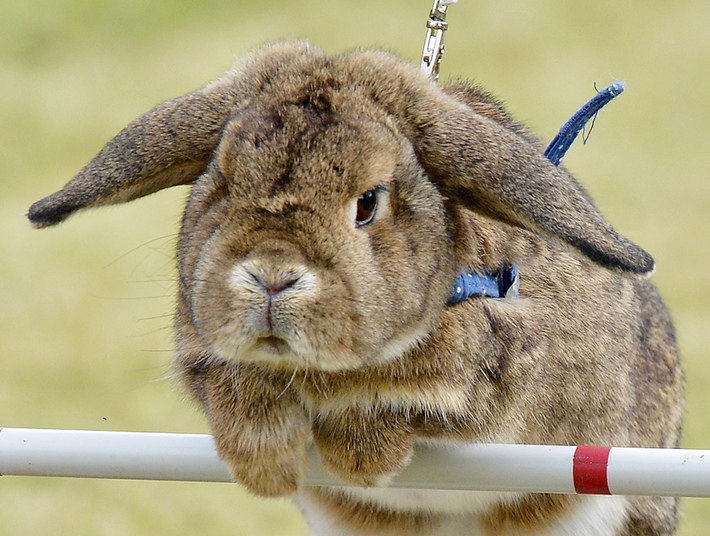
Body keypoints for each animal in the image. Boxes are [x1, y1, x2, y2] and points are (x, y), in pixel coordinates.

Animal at [29, 43, 684, 536]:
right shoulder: (203, 351)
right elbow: (235, 385)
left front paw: (361, 459)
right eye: (221, 183)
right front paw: (265, 465)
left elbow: (408, 396)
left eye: (368, 203)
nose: (272, 275)